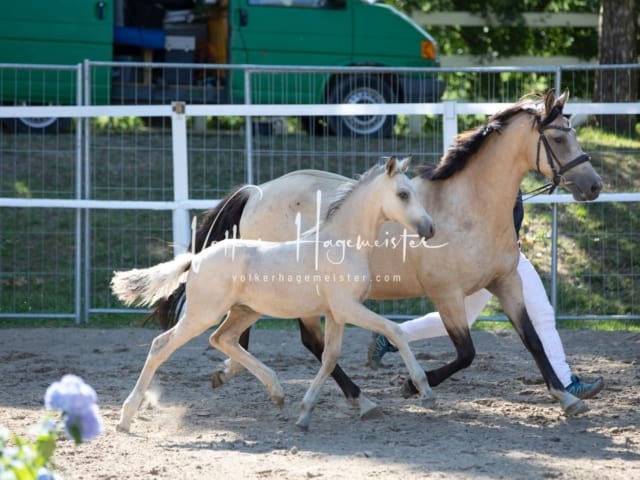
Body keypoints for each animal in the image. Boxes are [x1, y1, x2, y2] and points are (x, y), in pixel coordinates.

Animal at [114, 158, 436, 432]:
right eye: (403, 194)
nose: (430, 228)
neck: (340, 243)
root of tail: (196, 259)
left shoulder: (336, 313)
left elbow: (329, 357)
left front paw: (305, 413)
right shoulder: (349, 308)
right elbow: (394, 330)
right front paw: (425, 389)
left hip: (245, 311)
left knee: (223, 339)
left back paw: (276, 392)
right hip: (202, 314)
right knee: (161, 345)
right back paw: (125, 418)